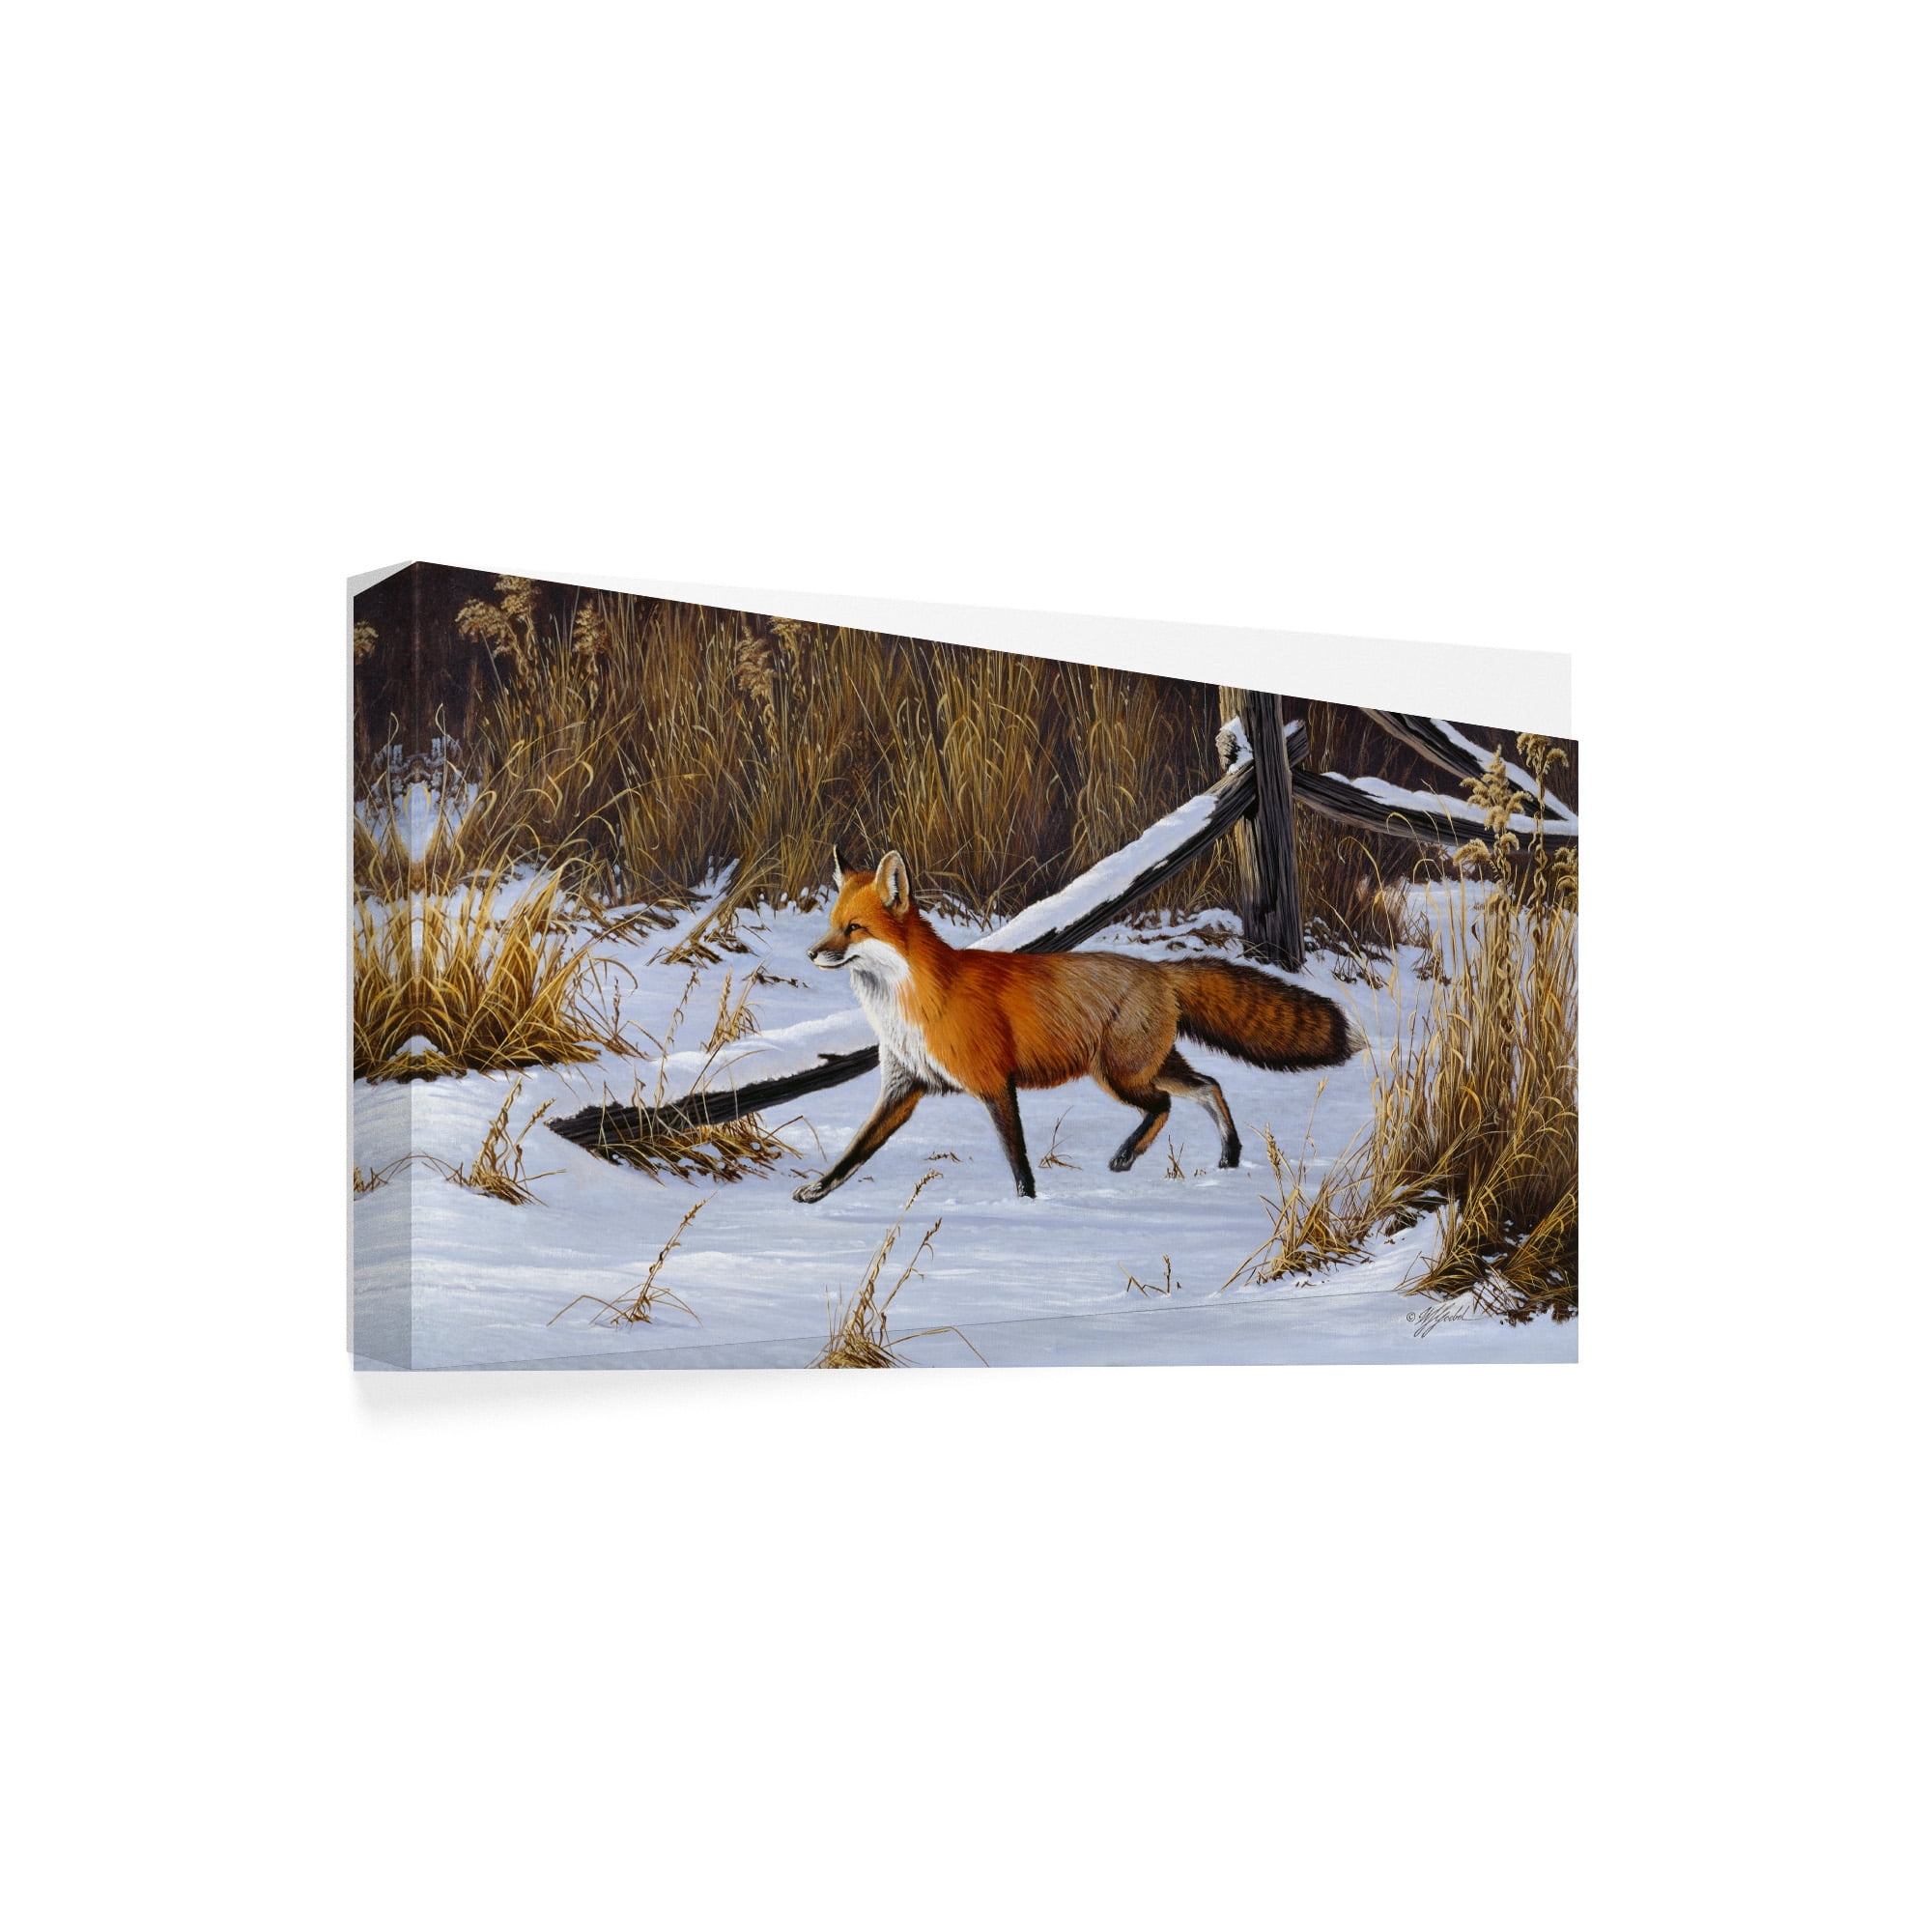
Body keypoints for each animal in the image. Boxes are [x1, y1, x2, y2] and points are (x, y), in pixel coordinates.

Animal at [792, 846, 1363, 1203]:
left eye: (854, 928)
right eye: (829, 925)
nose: (811, 952)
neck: (910, 1004)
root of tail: (1159, 970)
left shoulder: (994, 1084)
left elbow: (1017, 1157)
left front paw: (1027, 1205)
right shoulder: (903, 1087)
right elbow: (855, 1151)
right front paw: (818, 1191)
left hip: (1118, 1075)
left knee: (1166, 1105)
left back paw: (1128, 1156)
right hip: (1149, 1066)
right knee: (1210, 1086)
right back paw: (1228, 1157)